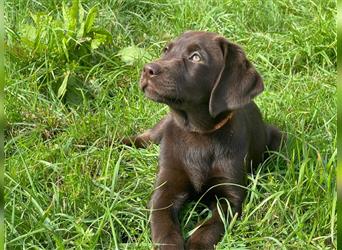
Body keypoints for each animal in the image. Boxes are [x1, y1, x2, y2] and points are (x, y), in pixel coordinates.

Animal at [124, 31, 282, 250]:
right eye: (166, 50)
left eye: (196, 57)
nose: (147, 69)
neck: (198, 134)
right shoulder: (165, 188)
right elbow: (164, 227)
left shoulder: (230, 197)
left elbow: (209, 227)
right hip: (159, 129)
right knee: (143, 137)